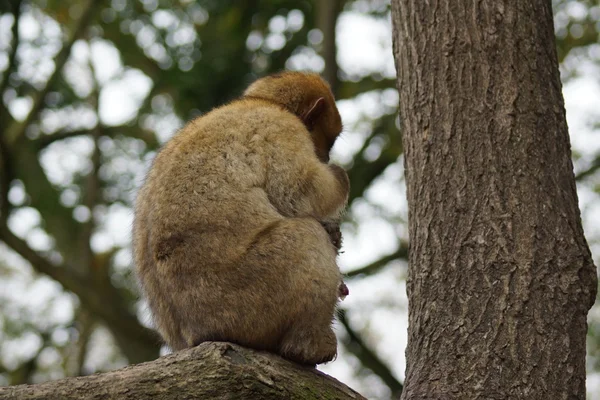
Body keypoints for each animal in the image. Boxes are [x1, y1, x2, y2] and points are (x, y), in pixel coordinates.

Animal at [131, 72, 346, 366]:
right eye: (330, 141)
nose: (326, 156)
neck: (264, 102)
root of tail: (195, 336)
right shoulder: (282, 127)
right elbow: (302, 193)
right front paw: (339, 177)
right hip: (244, 303)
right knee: (306, 237)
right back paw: (308, 346)